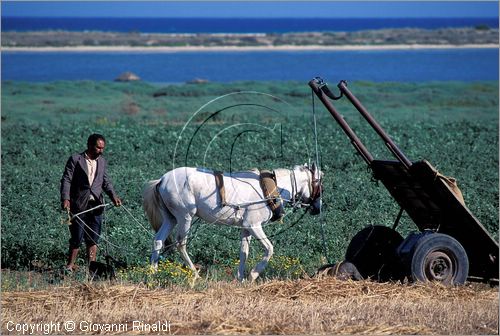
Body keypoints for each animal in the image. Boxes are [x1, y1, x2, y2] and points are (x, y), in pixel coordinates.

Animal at [143, 163, 322, 280]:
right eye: (319, 181)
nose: (318, 208)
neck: (270, 189)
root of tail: (161, 180)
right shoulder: (253, 225)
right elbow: (269, 249)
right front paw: (253, 274)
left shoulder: (246, 228)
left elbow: (244, 252)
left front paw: (240, 278)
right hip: (185, 217)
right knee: (181, 243)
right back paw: (194, 274)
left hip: (171, 218)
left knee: (158, 240)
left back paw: (153, 274)